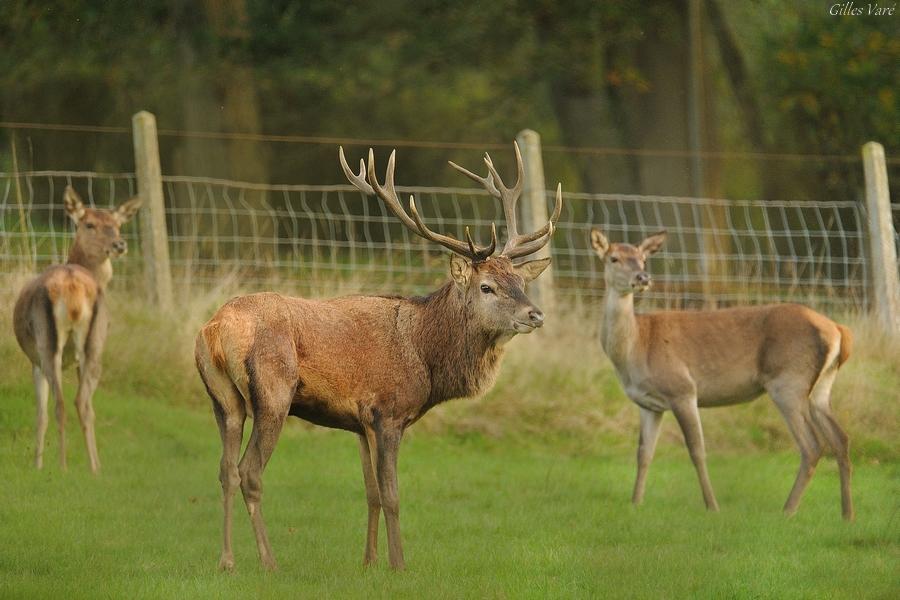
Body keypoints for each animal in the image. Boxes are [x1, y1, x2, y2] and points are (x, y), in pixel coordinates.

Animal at [12, 188, 142, 474]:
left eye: (117, 225)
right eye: (89, 224)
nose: (119, 244)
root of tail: (72, 287)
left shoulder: (35, 361)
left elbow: (41, 413)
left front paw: (37, 464)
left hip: (49, 343)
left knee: (63, 403)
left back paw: (65, 466)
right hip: (93, 345)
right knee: (81, 402)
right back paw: (93, 468)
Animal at [197, 142, 564, 572]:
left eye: (520, 281)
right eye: (487, 286)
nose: (535, 314)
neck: (426, 357)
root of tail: (215, 330)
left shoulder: (359, 422)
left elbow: (370, 491)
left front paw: (369, 561)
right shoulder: (387, 412)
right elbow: (392, 495)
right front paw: (399, 564)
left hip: (223, 400)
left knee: (225, 470)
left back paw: (226, 561)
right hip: (273, 392)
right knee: (250, 472)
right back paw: (269, 562)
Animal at [588, 230, 856, 520]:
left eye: (643, 259)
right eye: (614, 258)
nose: (642, 278)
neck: (637, 347)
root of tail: (838, 330)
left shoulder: (682, 389)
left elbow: (696, 451)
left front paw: (712, 506)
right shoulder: (649, 404)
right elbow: (644, 453)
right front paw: (635, 503)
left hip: (788, 382)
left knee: (812, 445)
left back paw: (787, 510)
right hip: (820, 388)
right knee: (841, 438)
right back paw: (847, 514)